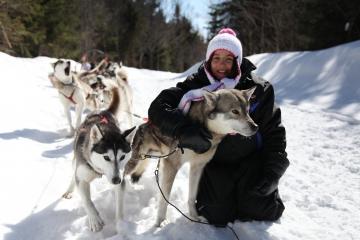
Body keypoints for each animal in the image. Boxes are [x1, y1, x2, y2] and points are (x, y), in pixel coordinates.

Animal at [62, 88, 136, 232]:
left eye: (122, 157)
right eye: (106, 157)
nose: (116, 180)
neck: (98, 170)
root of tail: (102, 111)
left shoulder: (120, 178)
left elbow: (119, 206)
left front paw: (121, 226)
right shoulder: (82, 178)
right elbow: (87, 201)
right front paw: (95, 219)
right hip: (76, 161)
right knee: (73, 174)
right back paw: (69, 190)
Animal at [125, 87, 258, 226]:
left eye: (247, 111)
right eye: (235, 111)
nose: (255, 127)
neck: (204, 131)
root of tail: (144, 124)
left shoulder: (197, 167)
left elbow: (192, 196)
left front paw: (194, 217)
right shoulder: (172, 166)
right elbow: (164, 199)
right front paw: (160, 222)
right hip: (138, 160)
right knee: (124, 174)